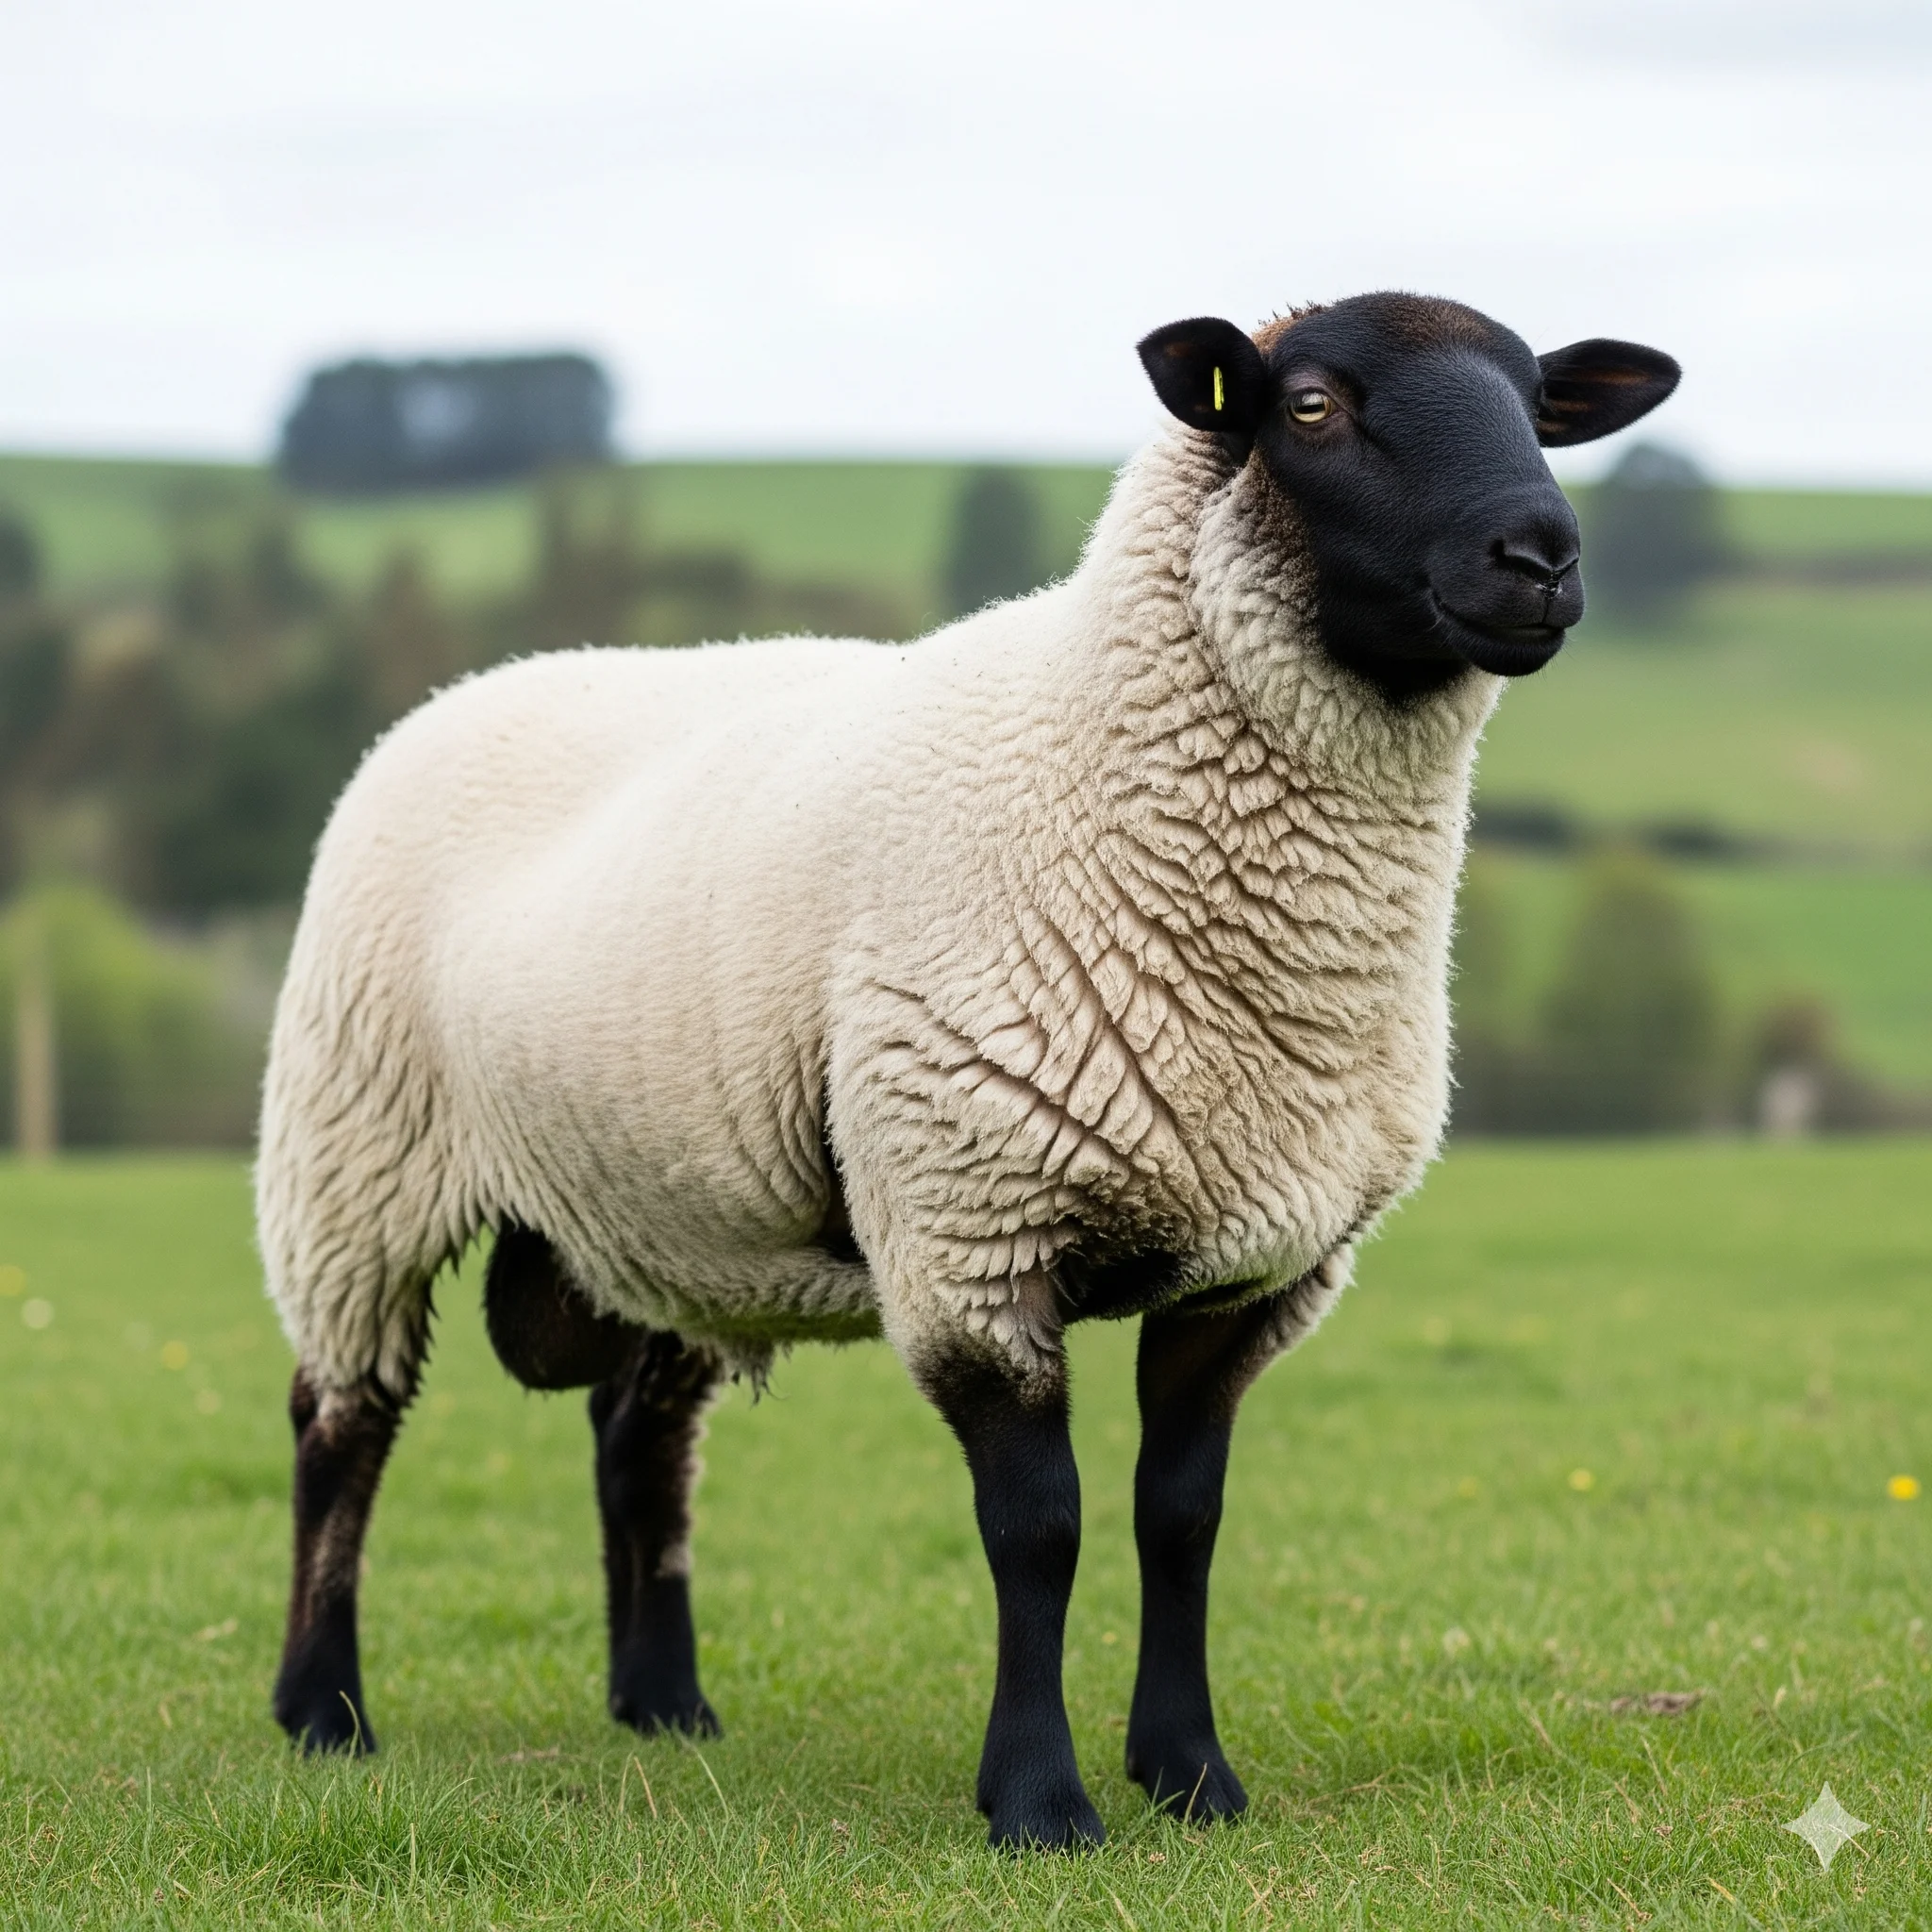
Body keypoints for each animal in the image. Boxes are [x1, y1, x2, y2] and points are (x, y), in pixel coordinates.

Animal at [259, 291, 1678, 1848]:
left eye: (1538, 408)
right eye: (1309, 405)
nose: (1541, 555)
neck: (1104, 762)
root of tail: (469, 689)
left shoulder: (1252, 1273)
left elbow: (1181, 1520)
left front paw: (1191, 1777)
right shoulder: (971, 1232)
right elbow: (1038, 1531)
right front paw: (1042, 1804)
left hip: (663, 1203)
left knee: (640, 1443)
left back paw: (665, 1708)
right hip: (355, 1161)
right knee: (342, 1428)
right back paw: (323, 1713)